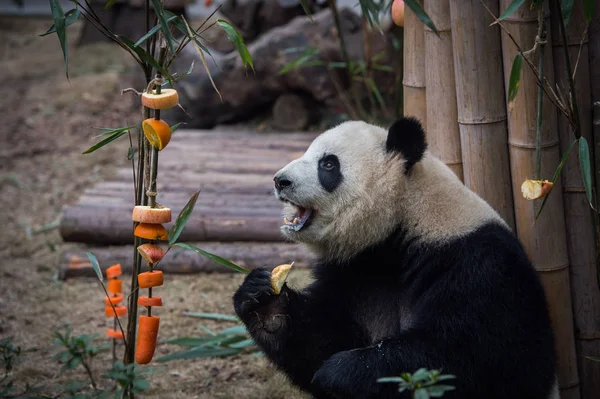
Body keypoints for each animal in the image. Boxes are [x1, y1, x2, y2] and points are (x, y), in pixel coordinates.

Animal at [233, 118, 556, 399]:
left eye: (328, 164)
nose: (280, 181)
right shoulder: (354, 272)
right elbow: (322, 337)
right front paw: (264, 300)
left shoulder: (477, 265)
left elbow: (472, 355)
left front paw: (340, 373)